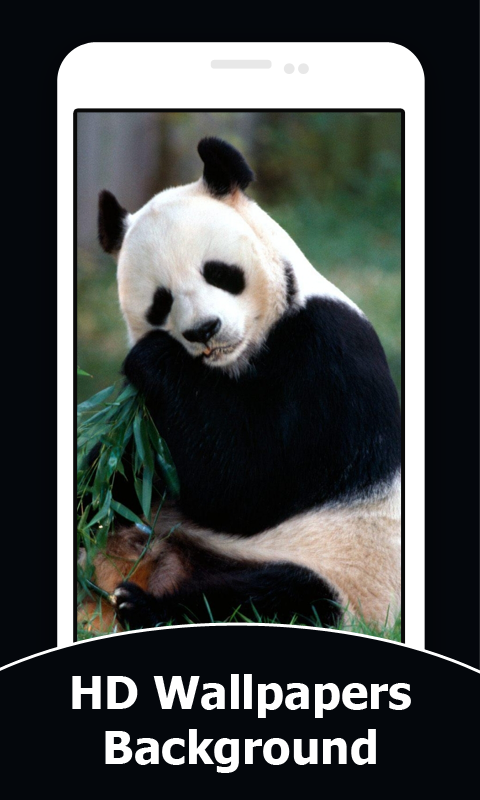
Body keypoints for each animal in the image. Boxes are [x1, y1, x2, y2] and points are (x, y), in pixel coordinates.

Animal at [84, 136, 401, 632]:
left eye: (218, 272)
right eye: (161, 301)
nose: (204, 330)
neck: (238, 359)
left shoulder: (328, 358)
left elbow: (246, 484)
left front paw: (152, 357)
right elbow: (132, 463)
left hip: (346, 576)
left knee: (277, 598)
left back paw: (146, 606)